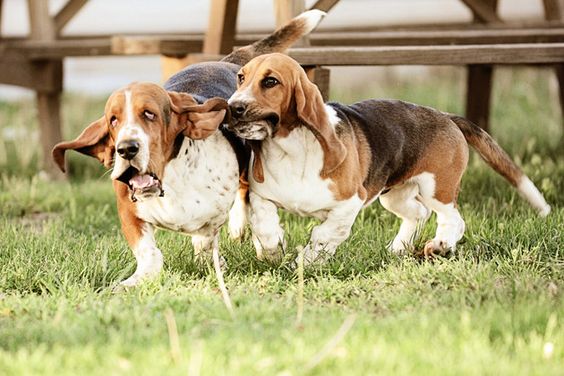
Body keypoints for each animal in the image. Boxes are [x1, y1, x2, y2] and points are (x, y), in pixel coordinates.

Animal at [54, 12, 326, 288]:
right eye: (113, 120)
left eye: (149, 114)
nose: (126, 149)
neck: (170, 180)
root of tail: (227, 62)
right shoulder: (129, 213)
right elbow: (149, 252)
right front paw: (136, 281)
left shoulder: (212, 213)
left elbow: (207, 235)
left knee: (246, 192)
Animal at [226, 53, 552, 264]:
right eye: (241, 78)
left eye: (270, 82)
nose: (233, 107)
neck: (291, 148)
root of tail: (446, 116)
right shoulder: (262, 196)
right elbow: (264, 223)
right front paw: (272, 250)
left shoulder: (350, 203)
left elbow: (324, 233)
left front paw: (306, 261)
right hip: (394, 195)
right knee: (419, 213)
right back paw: (399, 247)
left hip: (438, 188)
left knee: (453, 220)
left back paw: (440, 245)